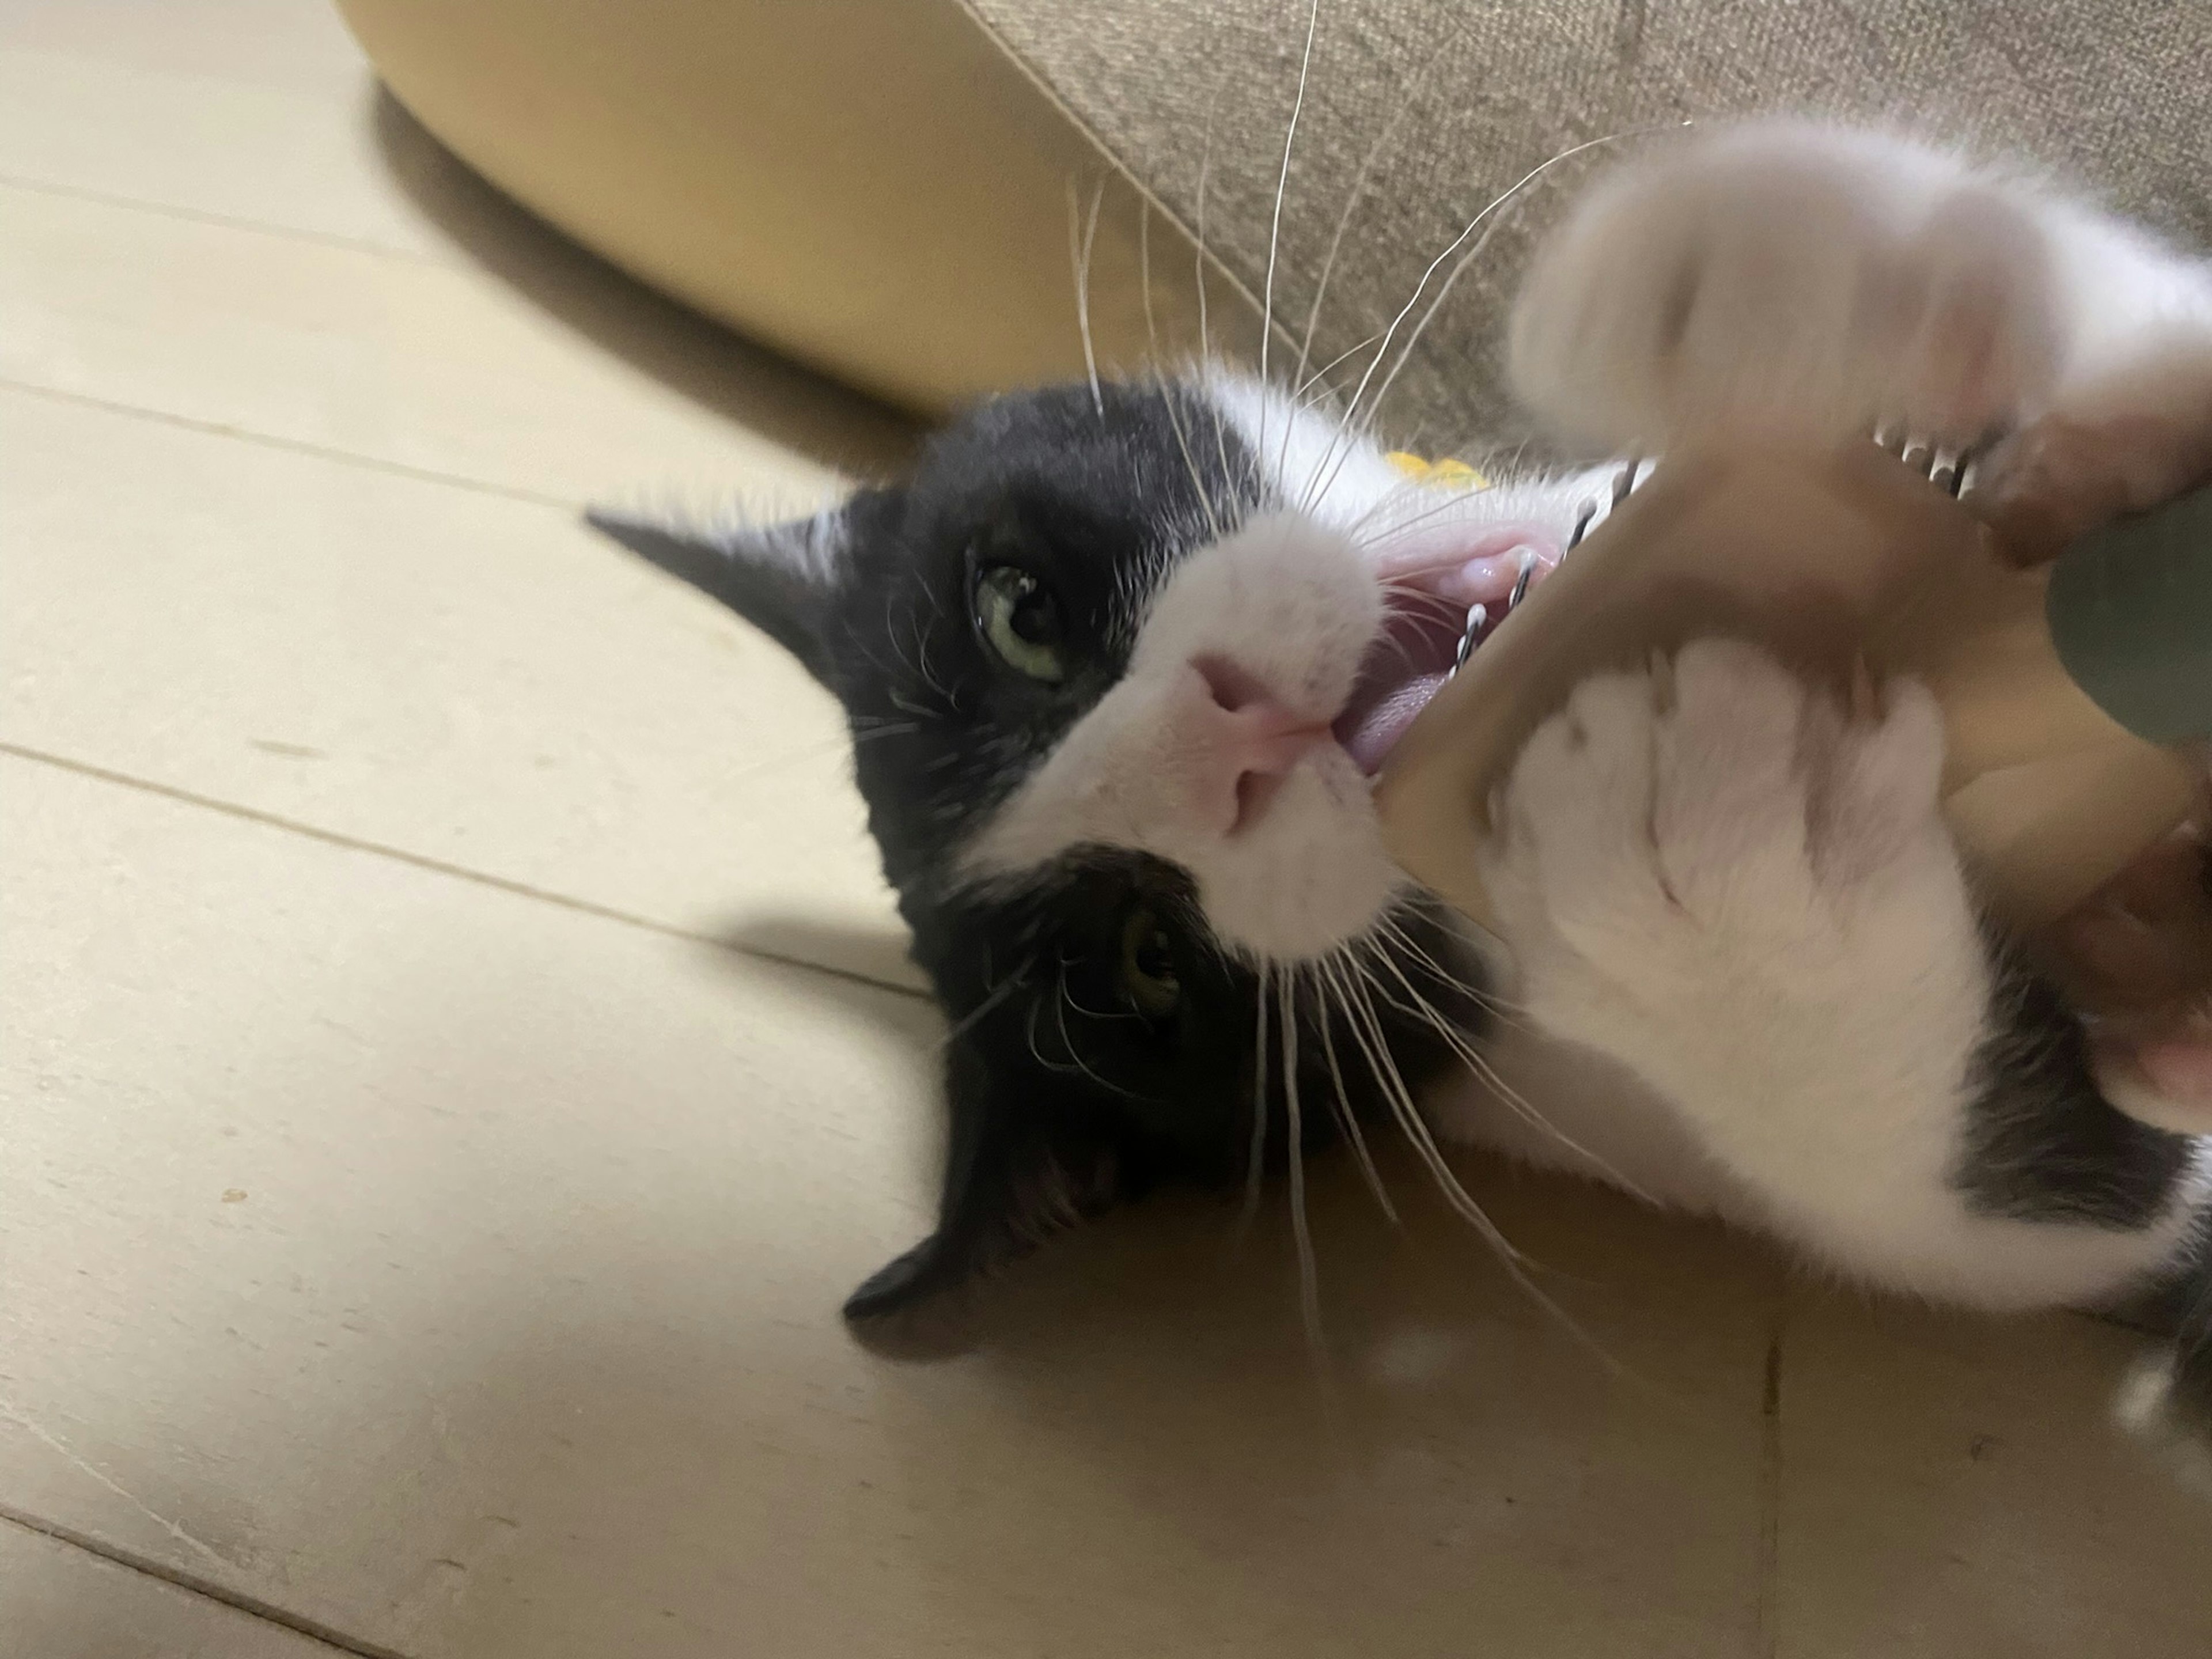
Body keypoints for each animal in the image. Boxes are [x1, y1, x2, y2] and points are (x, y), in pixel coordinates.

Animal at [593, 126, 2212, 1407]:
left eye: (1021, 617)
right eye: (1149, 965)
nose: (1222, 740)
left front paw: (1827, 269)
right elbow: (2015, 1194)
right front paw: (1735, 889)